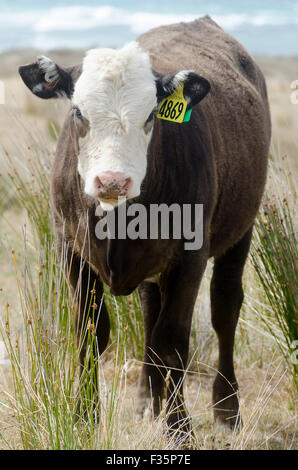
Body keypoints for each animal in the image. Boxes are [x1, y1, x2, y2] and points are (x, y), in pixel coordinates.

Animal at [18, 15, 270, 440]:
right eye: (77, 112)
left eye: (152, 115)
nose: (112, 181)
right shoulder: (70, 249)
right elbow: (91, 333)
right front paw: (83, 415)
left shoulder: (190, 257)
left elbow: (174, 341)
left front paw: (179, 426)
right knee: (151, 314)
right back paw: (145, 402)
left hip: (241, 231)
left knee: (224, 310)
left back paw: (226, 409)